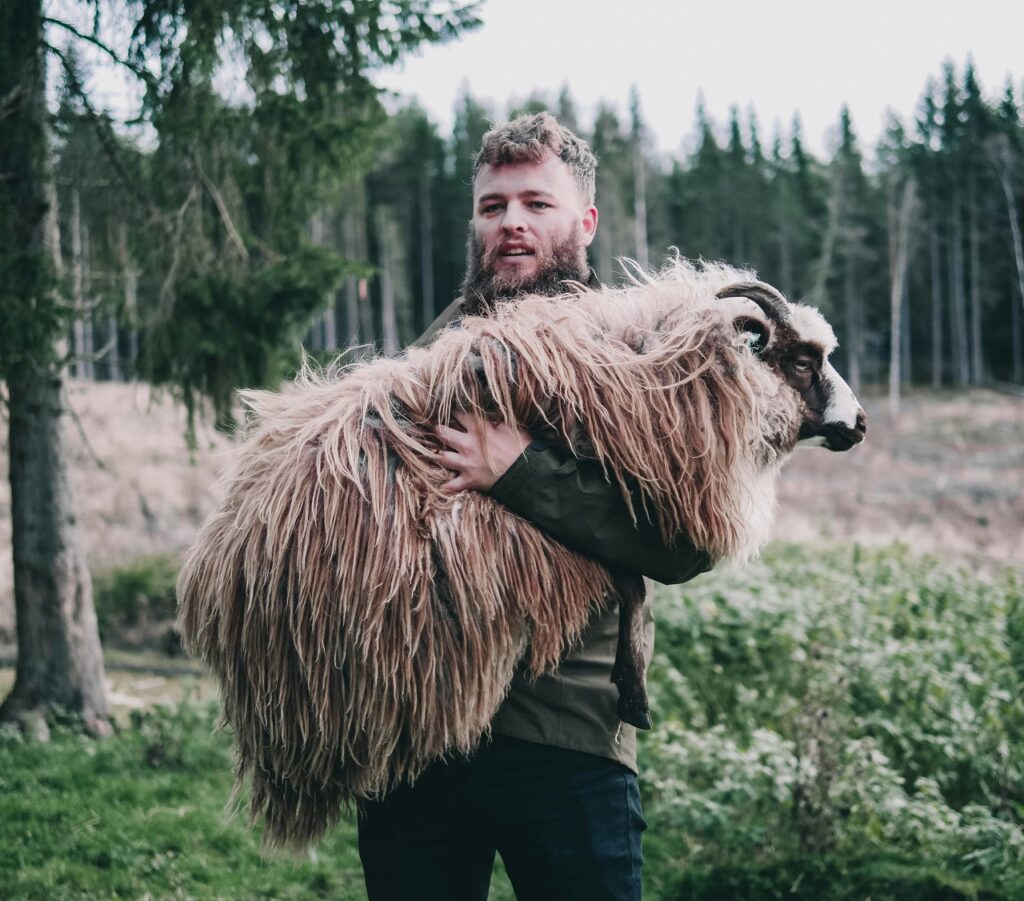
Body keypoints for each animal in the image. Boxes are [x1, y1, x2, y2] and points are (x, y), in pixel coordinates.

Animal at [176, 256, 864, 847]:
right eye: (804, 362)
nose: (859, 425)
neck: (652, 358)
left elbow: (632, 573)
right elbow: (631, 580)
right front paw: (632, 688)